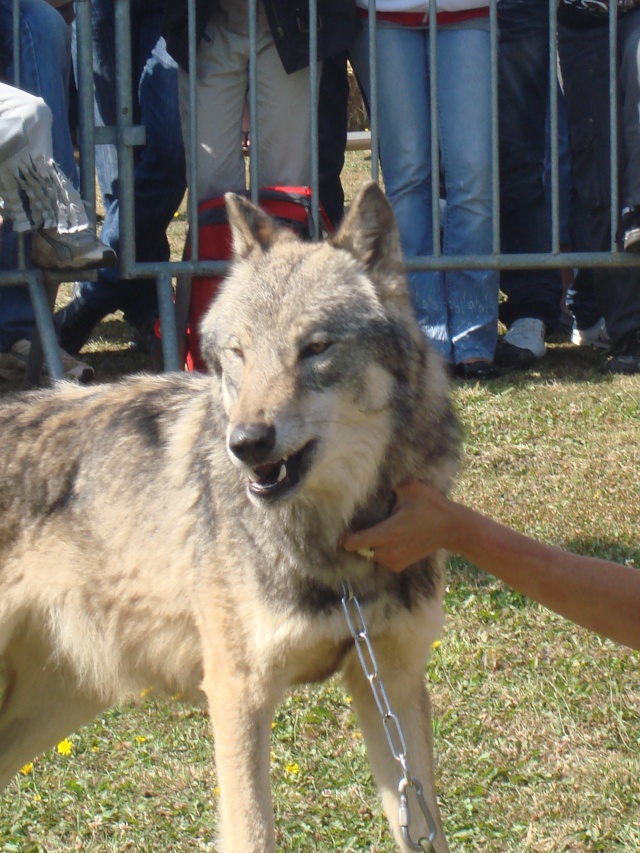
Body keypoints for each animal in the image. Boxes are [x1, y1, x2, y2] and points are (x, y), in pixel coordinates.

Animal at [0, 181, 460, 852]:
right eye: (239, 354)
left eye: (315, 348)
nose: (245, 442)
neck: (335, 549)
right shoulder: (238, 692)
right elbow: (253, 832)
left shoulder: (390, 683)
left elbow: (423, 828)